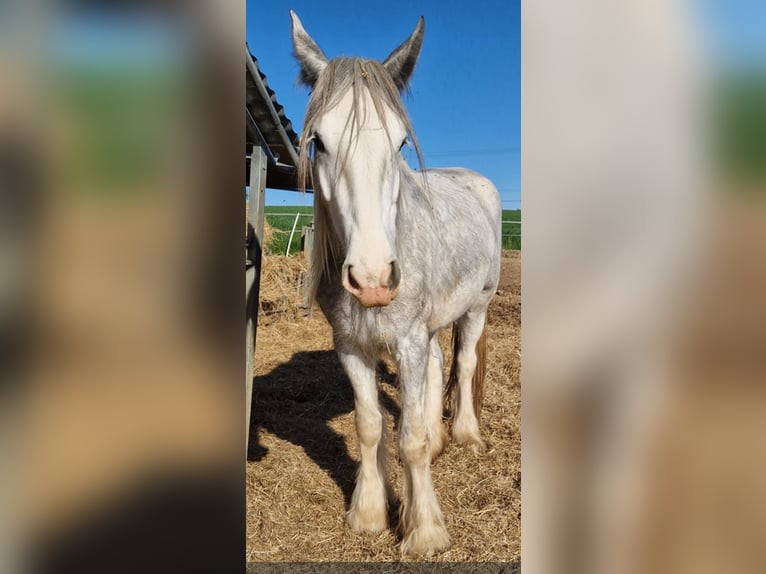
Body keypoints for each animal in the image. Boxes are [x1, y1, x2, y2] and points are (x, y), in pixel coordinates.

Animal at [289, 10, 502, 557]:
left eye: (401, 142)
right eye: (318, 142)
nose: (372, 280)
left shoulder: (406, 339)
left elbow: (411, 440)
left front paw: (423, 530)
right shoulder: (351, 345)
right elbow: (370, 426)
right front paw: (368, 513)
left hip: (477, 306)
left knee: (463, 363)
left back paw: (465, 435)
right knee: (436, 365)